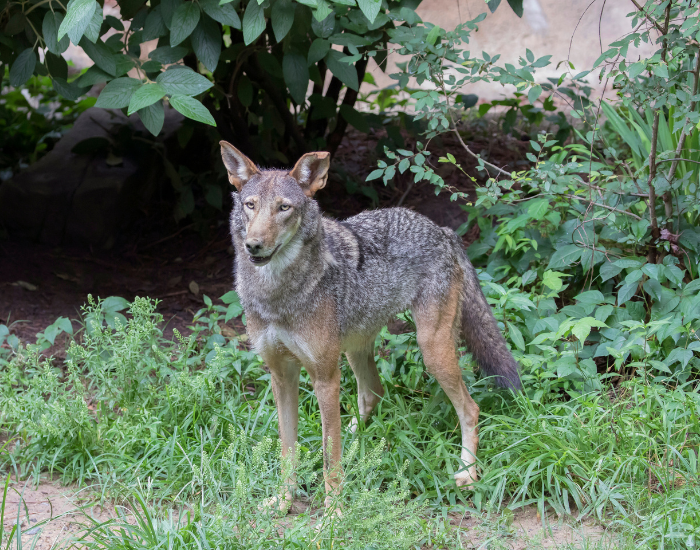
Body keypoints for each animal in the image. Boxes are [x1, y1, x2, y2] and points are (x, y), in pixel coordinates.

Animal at [220, 142, 521, 510]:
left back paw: (467, 471)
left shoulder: (325, 378)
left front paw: (334, 511)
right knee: (372, 395)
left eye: (284, 208)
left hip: (432, 352)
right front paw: (283, 500)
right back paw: (357, 447)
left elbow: (330, 457)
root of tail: (443, 231)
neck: (277, 296)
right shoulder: (281, 375)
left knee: (470, 409)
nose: (254, 245)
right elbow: (288, 450)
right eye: (251, 205)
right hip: (355, 349)